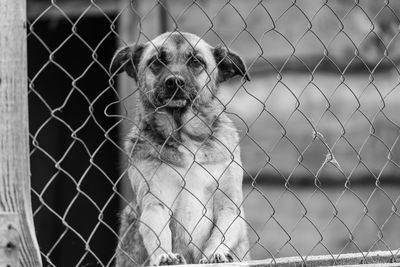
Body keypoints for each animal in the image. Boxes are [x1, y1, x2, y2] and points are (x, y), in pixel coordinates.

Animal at [109, 32, 252, 266]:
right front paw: (164, 256)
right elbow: (158, 234)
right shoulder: (155, 203)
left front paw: (216, 253)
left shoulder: (229, 205)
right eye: (157, 61)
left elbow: (220, 233)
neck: (185, 136)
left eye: (196, 62)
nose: (174, 81)